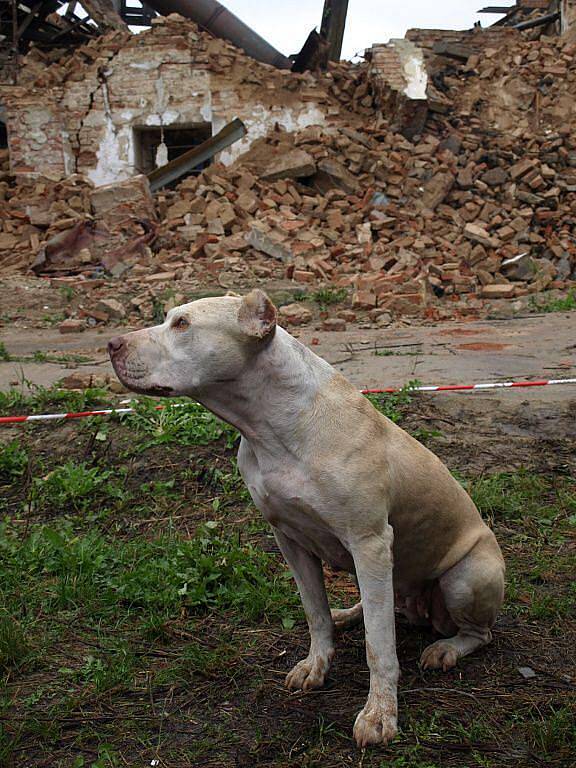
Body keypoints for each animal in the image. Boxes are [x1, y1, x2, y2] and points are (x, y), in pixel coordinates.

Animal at [108, 288, 504, 744]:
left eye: (183, 324)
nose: (112, 344)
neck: (270, 423)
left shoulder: (369, 542)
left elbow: (379, 646)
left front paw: (380, 715)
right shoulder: (291, 540)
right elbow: (315, 611)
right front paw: (317, 664)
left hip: (466, 577)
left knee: (474, 632)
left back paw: (446, 649)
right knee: (379, 605)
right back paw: (350, 613)